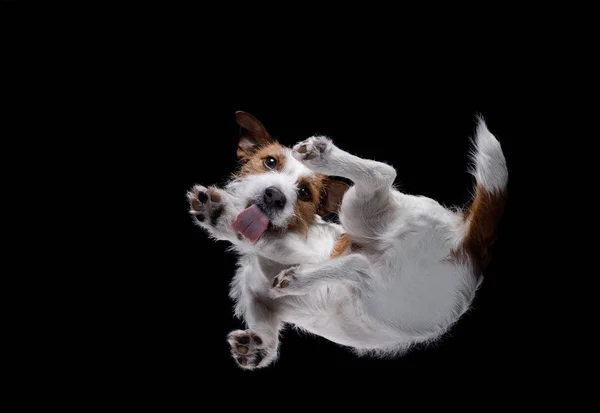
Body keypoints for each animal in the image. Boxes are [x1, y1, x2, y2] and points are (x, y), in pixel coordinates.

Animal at [186, 111, 506, 368]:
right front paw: (258, 347)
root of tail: (470, 246)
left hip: (369, 254)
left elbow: (256, 238)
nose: (274, 196)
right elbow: (265, 324)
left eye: (305, 193)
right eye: (270, 162)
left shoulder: (303, 249)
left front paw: (220, 214)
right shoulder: (260, 299)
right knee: (361, 257)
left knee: (368, 229)